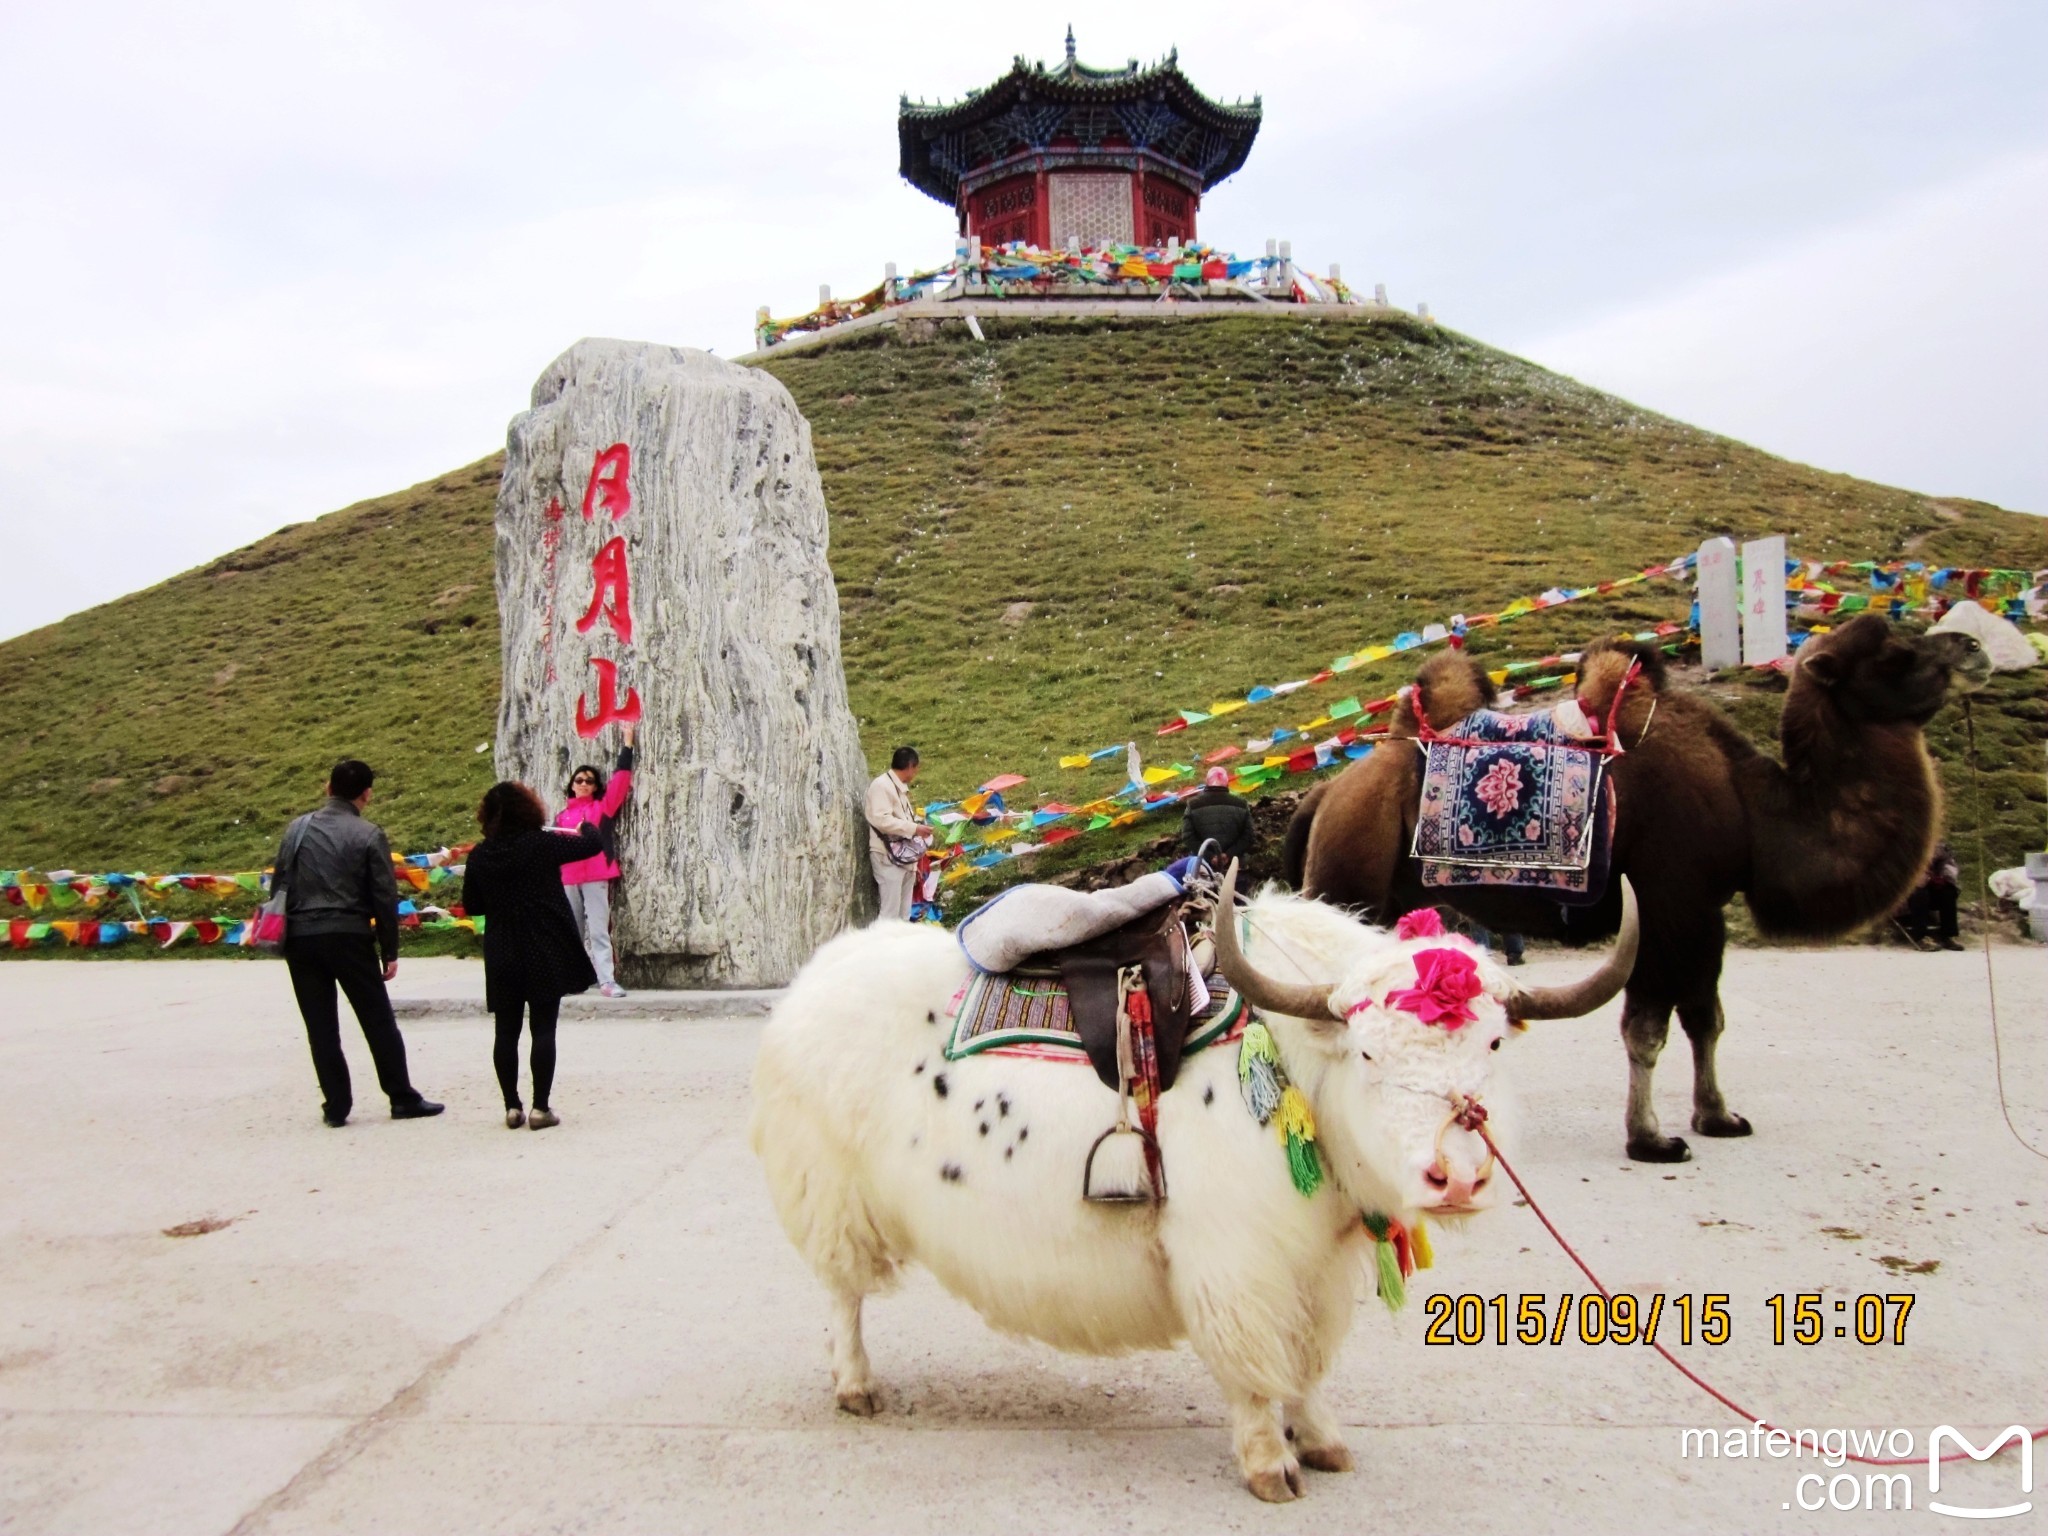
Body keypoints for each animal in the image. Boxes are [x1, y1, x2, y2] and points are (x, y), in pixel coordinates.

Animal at [1286, 614, 1990, 1163]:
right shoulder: (1665, 901)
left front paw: (1718, 1117)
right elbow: (1648, 1028)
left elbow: (1706, 1018)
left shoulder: (1704, 912)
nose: (1973, 648)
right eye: (1893, 653)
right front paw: (1651, 1139)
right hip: (1350, 880)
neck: (1750, 804)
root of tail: (1326, 794)